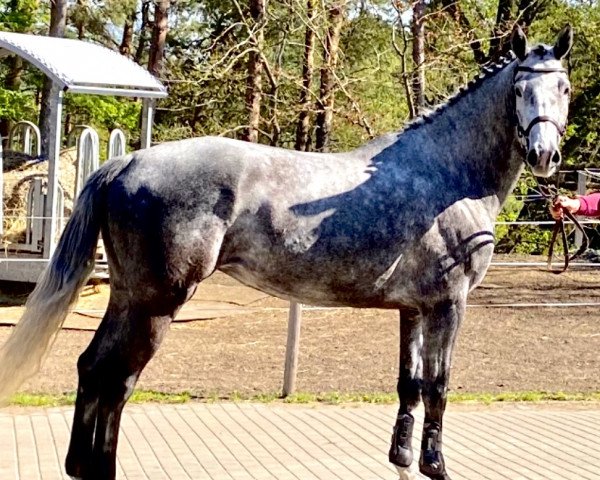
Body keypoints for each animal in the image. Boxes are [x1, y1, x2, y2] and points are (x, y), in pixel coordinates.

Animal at [0, 27, 572, 480]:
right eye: (519, 88)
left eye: (563, 86)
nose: (544, 154)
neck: (446, 174)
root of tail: (126, 163)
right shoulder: (448, 305)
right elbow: (438, 386)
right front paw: (436, 464)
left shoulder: (413, 309)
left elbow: (409, 385)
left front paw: (403, 460)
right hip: (155, 303)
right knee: (116, 377)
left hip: (128, 297)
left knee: (92, 368)